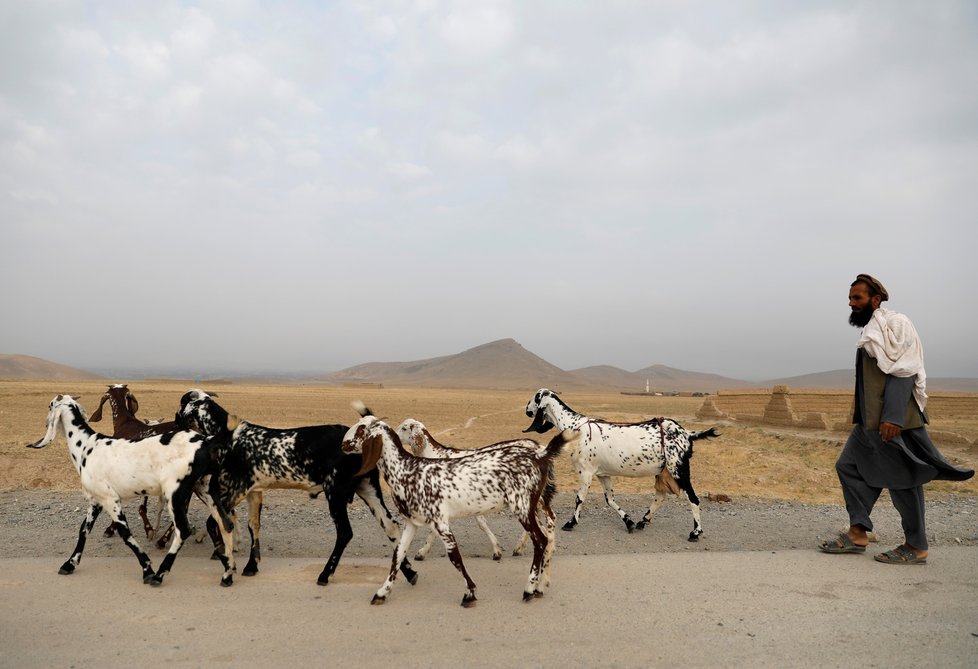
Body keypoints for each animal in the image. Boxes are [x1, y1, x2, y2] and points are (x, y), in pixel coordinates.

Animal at [24, 394, 234, 588]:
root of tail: (205, 442)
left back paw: (159, 575)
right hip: (205, 489)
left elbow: (125, 533)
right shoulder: (96, 500)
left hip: (175, 494)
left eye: (50, 405)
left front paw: (147, 569)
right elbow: (84, 529)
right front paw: (70, 564)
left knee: (184, 530)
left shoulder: (110, 499)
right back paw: (228, 574)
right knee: (225, 523)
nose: (45, 421)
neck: (87, 446)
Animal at [392, 418, 552, 560]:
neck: (435, 455)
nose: (394, 435)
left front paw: (421, 552)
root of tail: (538, 448)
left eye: (404, 428)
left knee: (549, 518)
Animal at [528, 388, 716, 540]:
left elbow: (579, 498)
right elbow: (610, 499)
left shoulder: (585, 471)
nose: (527, 409)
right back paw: (642, 521)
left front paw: (570, 523)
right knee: (660, 496)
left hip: (678, 468)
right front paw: (629, 522)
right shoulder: (603, 474)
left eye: (535, 397)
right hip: (664, 471)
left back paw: (696, 533)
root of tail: (688, 434)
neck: (575, 428)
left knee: (693, 498)